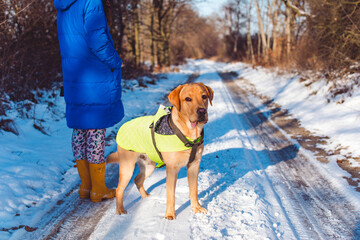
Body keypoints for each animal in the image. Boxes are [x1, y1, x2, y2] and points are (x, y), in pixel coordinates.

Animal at [107, 82, 214, 219]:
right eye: (188, 99)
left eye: (204, 96)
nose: (201, 111)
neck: (190, 134)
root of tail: (122, 127)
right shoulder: (172, 169)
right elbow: (171, 194)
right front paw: (170, 215)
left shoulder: (194, 165)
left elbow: (194, 190)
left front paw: (197, 208)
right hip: (127, 167)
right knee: (119, 189)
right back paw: (120, 210)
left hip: (149, 166)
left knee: (138, 180)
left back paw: (146, 197)